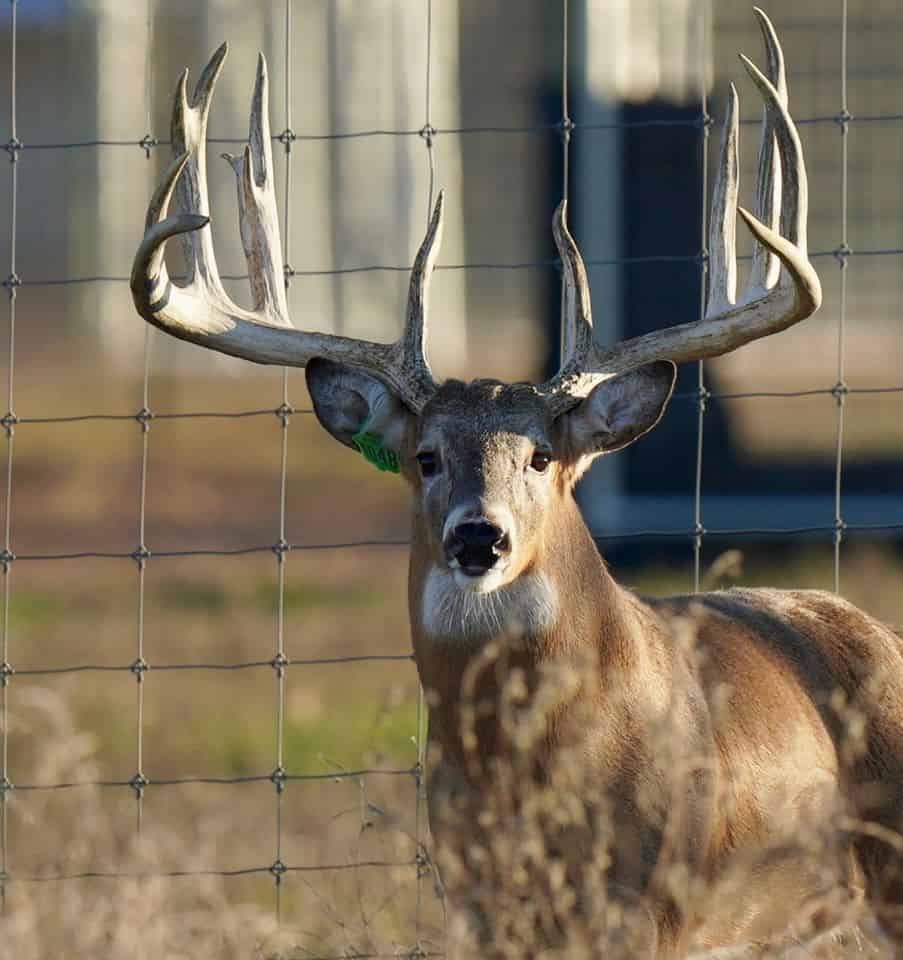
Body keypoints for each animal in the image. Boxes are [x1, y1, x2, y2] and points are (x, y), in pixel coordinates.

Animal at [132, 10, 903, 958]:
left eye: (540, 456)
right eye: (425, 456)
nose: (478, 536)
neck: (531, 775)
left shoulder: (652, 898)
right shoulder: (477, 899)